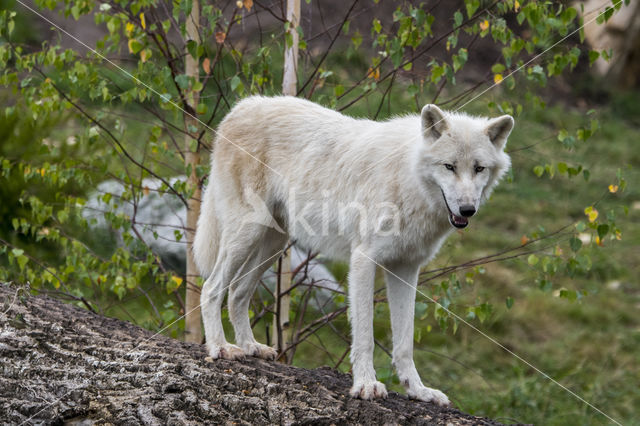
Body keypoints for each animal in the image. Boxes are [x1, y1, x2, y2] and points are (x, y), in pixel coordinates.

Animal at [195, 96, 516, 406]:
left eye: (479, 168)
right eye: (449, 166)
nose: (467, 209)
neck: (407, 179)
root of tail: (239, 107)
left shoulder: (406, 268)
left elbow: (405, 342)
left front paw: (418, 391)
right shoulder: (363, 260)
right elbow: (365, 336)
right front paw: (366, 385)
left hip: (273, 243)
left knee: (237, 293)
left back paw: (251, 346)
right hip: (247, 234)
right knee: (211, 288)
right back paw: (221, 347)